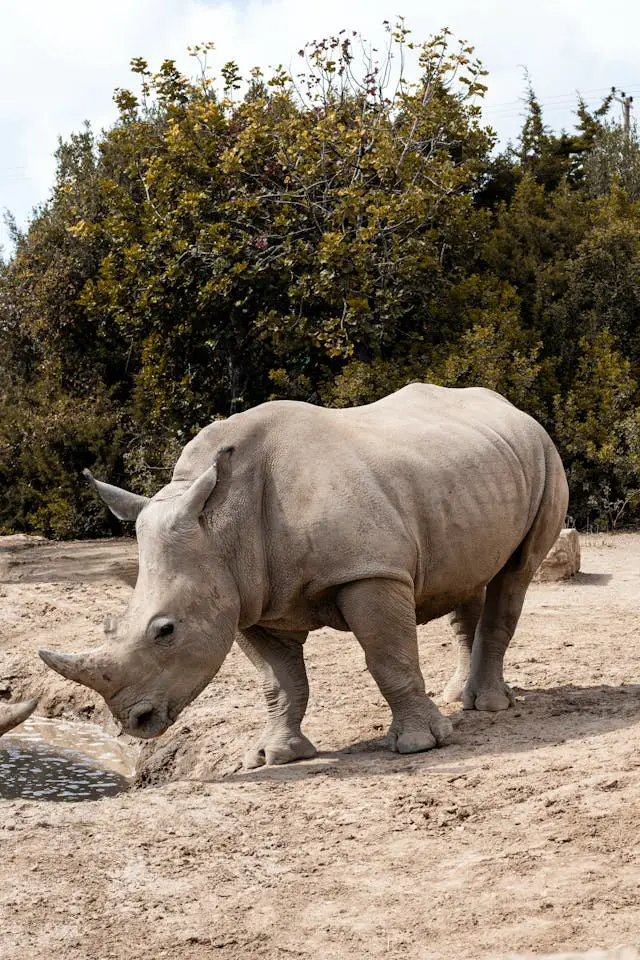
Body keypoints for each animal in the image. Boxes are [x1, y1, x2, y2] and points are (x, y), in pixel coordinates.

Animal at [40, 386, 568, 768]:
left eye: (165, 631)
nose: (134, 721)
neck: (221, 525)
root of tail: (513, 408)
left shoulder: (369, 572)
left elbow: (389, 659)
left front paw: (419, 745)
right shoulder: (246, 597)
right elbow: (279, 682)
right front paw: (273, 756)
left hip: (544, 455)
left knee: (516, 573)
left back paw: (489, 707)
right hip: (470, 474)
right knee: (470, 578)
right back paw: (459, 698)